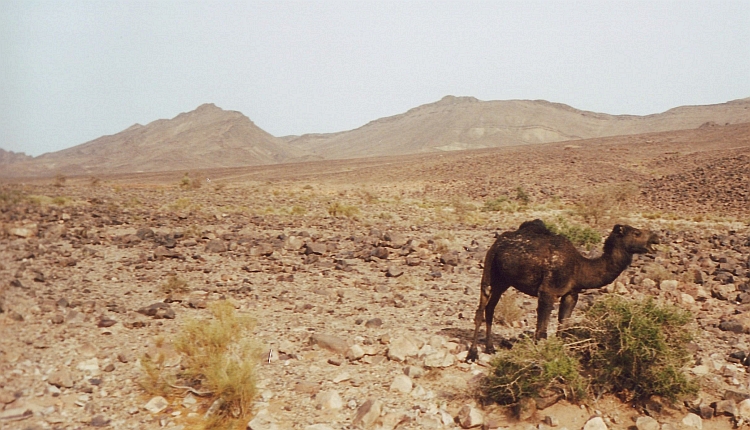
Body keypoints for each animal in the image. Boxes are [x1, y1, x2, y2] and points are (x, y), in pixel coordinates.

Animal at [468, 217, 660, 362]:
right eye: (636, 233)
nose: (655, 237)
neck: (580, 268)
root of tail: (499, 240)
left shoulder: (570, 294)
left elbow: (563, 330)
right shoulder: (547, 292)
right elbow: (541, 332)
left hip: (503, 281)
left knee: (490, 309)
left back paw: (490, 348)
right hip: (490, 268)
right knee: (480, 310)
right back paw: (472, 354)